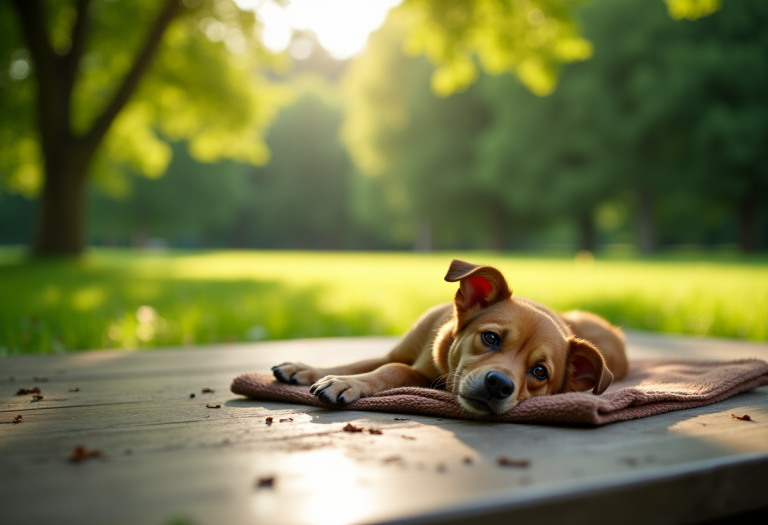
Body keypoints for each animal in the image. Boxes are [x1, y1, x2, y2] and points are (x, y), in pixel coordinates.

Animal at [272, 258, 628, 414]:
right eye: (490, 338)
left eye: (540, 371)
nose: (499, 384)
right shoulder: (395, 354)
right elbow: (362, 363)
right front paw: (307, 370)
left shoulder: (416, 374)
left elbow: (393, 371)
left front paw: (346, 385)